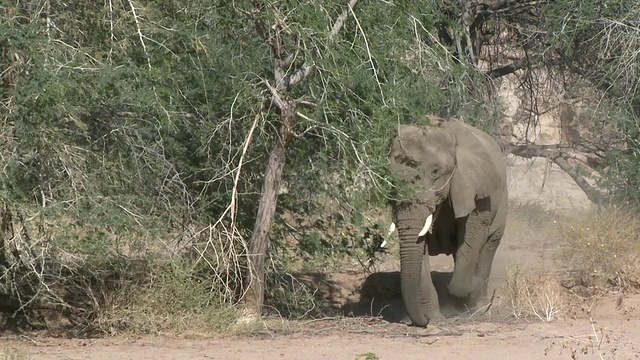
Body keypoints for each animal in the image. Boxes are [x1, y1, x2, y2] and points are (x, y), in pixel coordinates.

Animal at [388, 114, 508, 326]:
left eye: (436, 171)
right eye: (390, 176)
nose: (422, 321)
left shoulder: (475, 189)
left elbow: (473, 237)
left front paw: (466, 295)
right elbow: (420, 249)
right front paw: (435, 318)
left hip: (501, 203)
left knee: (488, 246)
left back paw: (480, 307)